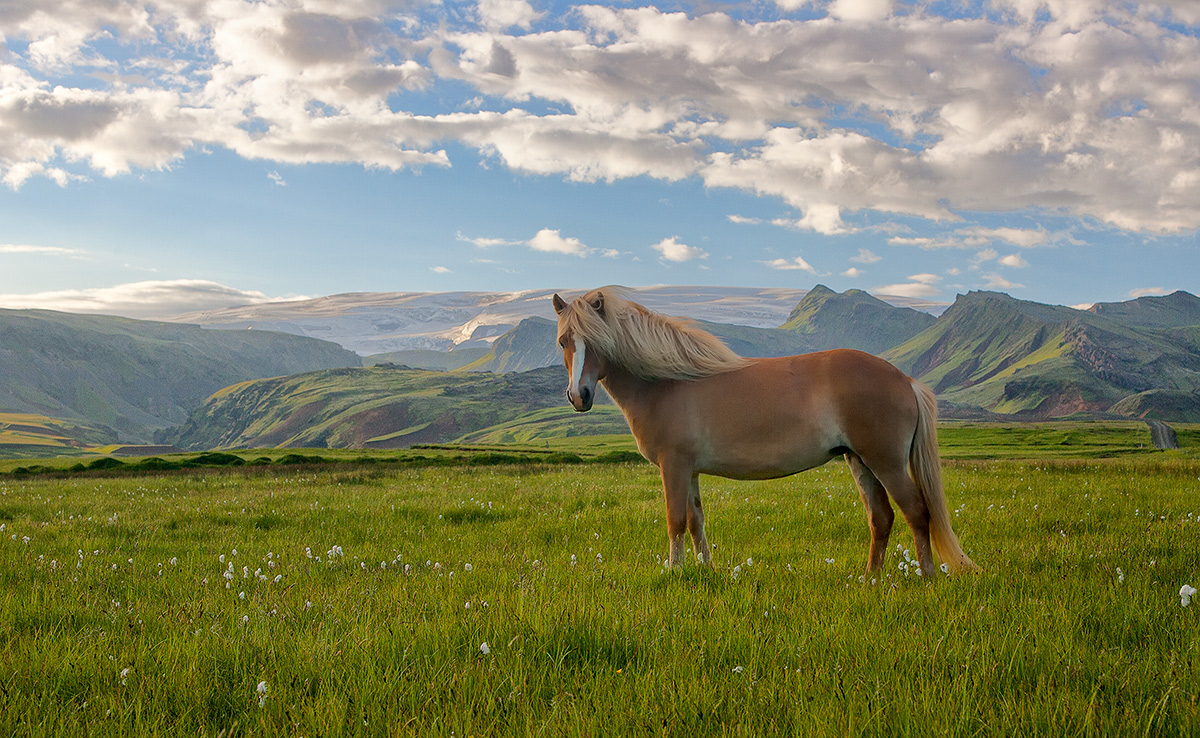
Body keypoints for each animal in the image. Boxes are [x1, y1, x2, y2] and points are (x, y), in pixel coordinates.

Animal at [552, 285, 974, 580]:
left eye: (598, 340)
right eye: (563, 341)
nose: (578, 396)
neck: (668, 382)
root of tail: (905, 380)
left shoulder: (673, 466)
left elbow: (675, 521)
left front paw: (674, 572)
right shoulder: (689, 470)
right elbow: (696, 521)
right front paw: (705, 570)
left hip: (886, 463)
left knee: (916, 511)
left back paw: (927, 575)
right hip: (860, 462)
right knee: (881, 517)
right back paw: (869, 577)